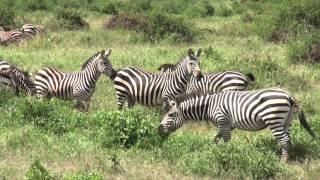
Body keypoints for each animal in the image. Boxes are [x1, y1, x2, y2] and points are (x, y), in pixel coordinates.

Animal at [158, 88, 316, 162]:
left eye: (170, 115)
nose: (158, 130)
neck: (209, 106)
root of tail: (289, 95)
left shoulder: (223, 121)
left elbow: (227, 142)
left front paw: (228, 156)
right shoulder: (227, 124)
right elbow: (216, 139)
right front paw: (214, 152)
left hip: (274, 119)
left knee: (284, 139)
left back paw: (282, 161)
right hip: (287, 120)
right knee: (288, 139)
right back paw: (286, 156)